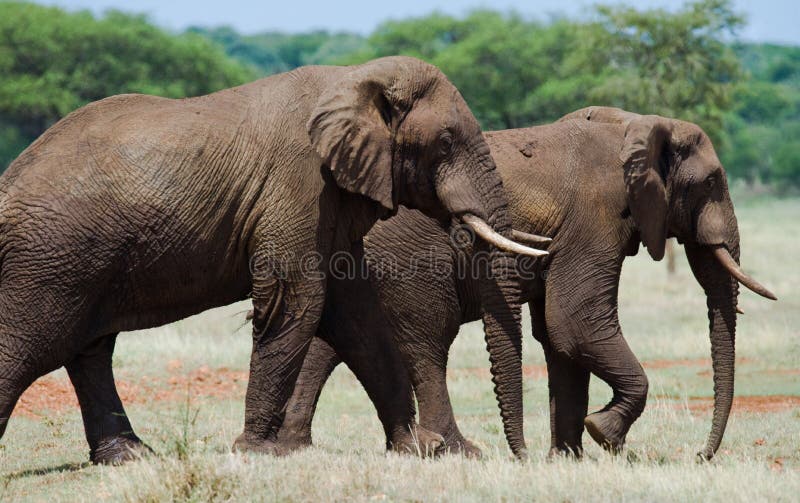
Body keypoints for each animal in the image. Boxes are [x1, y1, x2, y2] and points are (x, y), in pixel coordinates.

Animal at [0, 56, 548, 464]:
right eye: (447, 141)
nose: (525, 458)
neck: (354, 78)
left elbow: (356, 312)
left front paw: (417, 448)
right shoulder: (299, 184)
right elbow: (297, 300)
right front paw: (258, 452)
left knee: (88, 350)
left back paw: (132, 458)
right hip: (50, 258)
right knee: (32, 345)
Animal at [274, 106, 776, 460]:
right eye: (711, 183)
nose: (702, 455)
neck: (639, 124)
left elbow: (558, 336)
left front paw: (568, 459)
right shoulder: (595, 219)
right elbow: (574, 323)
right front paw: (605, 435)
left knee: (342, 341)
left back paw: (301, 446)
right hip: (407, 257)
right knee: (427, 340)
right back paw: (457, 452)